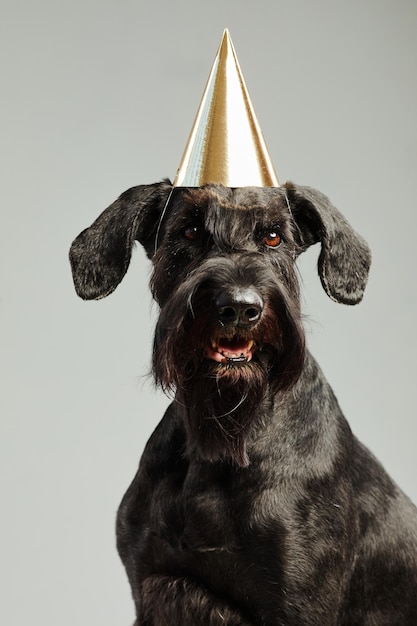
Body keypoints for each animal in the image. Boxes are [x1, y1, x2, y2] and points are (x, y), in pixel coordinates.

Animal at [69, 180, 416, 624]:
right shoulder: (149, 582)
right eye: (189, 232)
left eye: (273, 236)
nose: (238, 307)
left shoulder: (299, 605)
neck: (222, 437)